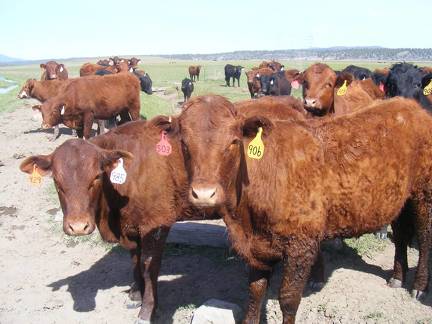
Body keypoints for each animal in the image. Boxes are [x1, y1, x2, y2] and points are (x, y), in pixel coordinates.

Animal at [19, 119, 218, 324]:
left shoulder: (156, 223)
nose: (78, 226)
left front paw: (147, 311)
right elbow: (135, 260)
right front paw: (136, 294)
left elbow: (149, 266)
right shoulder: (131, 229)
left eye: (96, 177)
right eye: (57, 182)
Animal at [152, 95, 432, 324]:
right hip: (400, 198)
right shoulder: (257, 247)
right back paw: (397, 276)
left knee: (424, 236)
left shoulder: (301, 245)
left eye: (233, 142)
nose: (204, 193)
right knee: (401, 235)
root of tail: (409, 105)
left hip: (424, 193)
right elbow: (255, 292)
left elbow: (288, 298)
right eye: (184, 144)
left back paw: (419, 286)